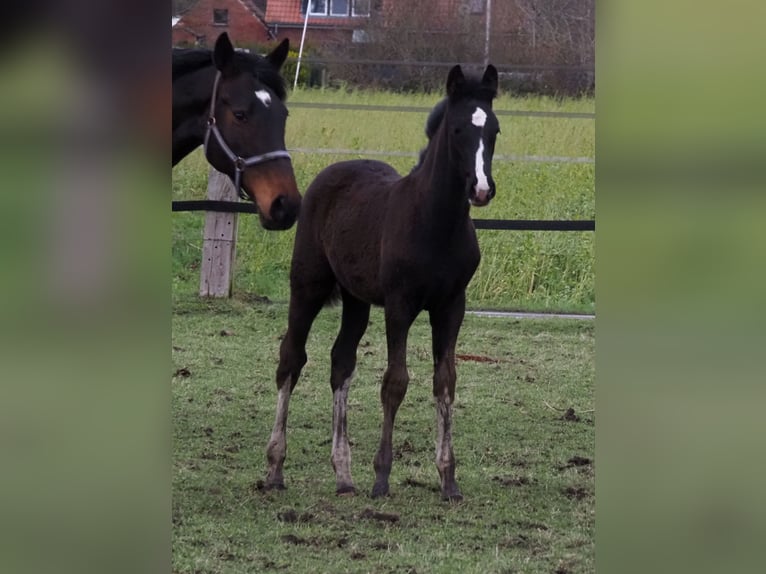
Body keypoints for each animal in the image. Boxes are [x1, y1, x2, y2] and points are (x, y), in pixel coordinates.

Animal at [268, 65, 500, 502]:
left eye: (494, 129)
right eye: (458, 129)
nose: (481, 189)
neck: (435, 222)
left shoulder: (451, 306)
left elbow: (445, 382)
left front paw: (449, 479)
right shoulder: (400, 304)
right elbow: (395, 382)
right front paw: (381, 477)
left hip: (356, 299)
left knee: (341, 362)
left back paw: (343, 475)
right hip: (306, 285)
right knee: (291, 358)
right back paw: (274, 467)